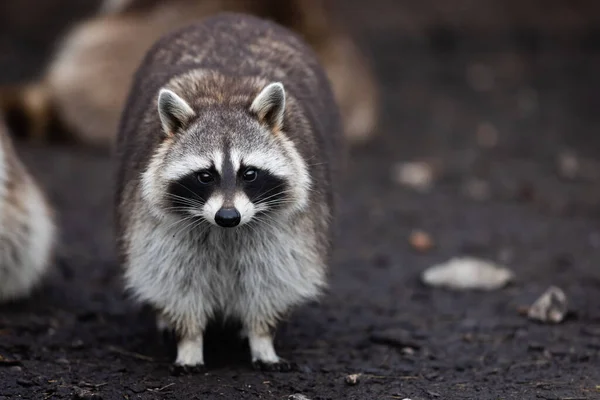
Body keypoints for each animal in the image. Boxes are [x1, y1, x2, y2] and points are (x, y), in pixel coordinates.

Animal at [115, 14, 344, 374]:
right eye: (205, 176)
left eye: (249, 173)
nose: (227, 217)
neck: (224, 97)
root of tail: (231, 17)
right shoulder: (158, 225)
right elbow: (175, 277)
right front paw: (189, 340)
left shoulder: (290, 228)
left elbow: (273, 275)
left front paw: (262, 337)